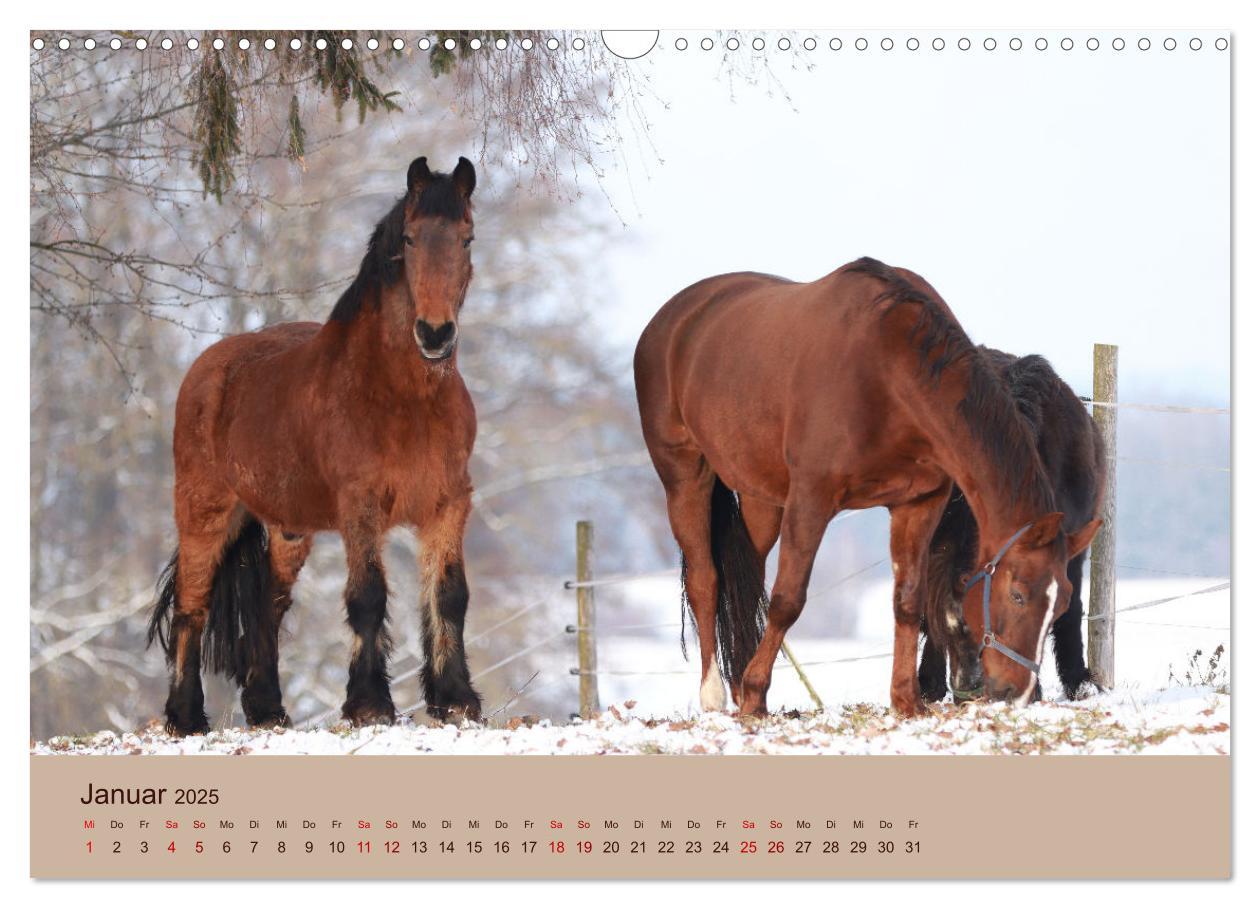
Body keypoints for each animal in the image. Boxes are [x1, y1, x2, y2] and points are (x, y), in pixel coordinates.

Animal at [148, 157, 481, 735]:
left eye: (466, 238)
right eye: (410, 238)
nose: (435, 334)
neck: (404, 399)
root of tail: (208, 367)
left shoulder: (448, 504)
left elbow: (449, 595)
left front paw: (456, 700)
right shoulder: (360, 507)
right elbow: (367, 597)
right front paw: (370, 705)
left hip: (288, 531)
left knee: (268, 607)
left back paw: (267, 711)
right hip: (204, 510)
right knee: (192, 604)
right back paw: (186, 717)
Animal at [635, 256, 1098, 715]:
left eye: (1061, 603)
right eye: (1018, 595)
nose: (1015, 692)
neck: (886, 372)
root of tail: (672, 317)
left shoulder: (919, 503)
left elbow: (908, 601)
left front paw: (906, 701)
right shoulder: (811, 499)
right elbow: (788, 600)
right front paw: (754, 695)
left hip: (760, 499)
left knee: (744, 578)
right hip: (685, 475)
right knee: (706, 579)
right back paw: (716, 694)